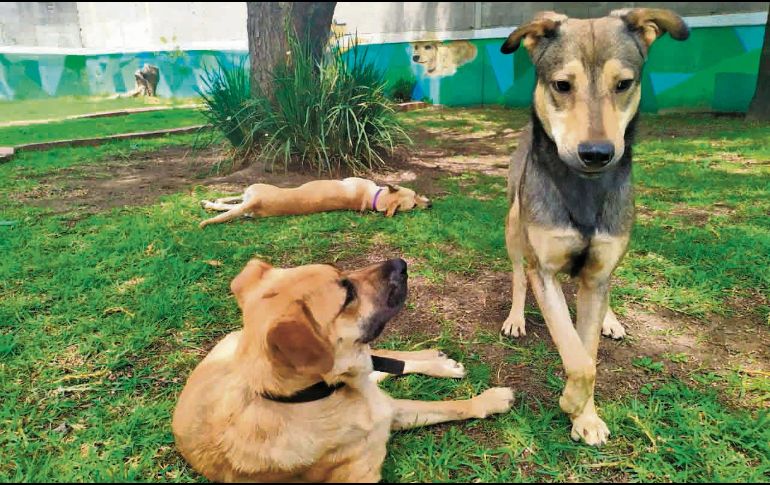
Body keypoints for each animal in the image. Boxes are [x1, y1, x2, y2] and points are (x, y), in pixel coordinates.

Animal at [171, 258, 512, 480]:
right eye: (347, 294)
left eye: (342, 274)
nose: (402, 263)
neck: (317, 395)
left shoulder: (389, 410)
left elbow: (454, 405)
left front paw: (488, 399)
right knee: (379, 370)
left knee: (382, 363)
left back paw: (437, 361)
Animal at [498, 8, 688, 446]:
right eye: (562, 85)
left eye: (624, 84)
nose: (597, 153)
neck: (583, 189)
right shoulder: (545, 270)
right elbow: (579, 357)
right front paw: (572, 402)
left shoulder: (598, 271)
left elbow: (587, 353)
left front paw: (584, 416)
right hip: (514, 228)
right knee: (517, 274)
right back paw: (516, 317)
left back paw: (610, 320)